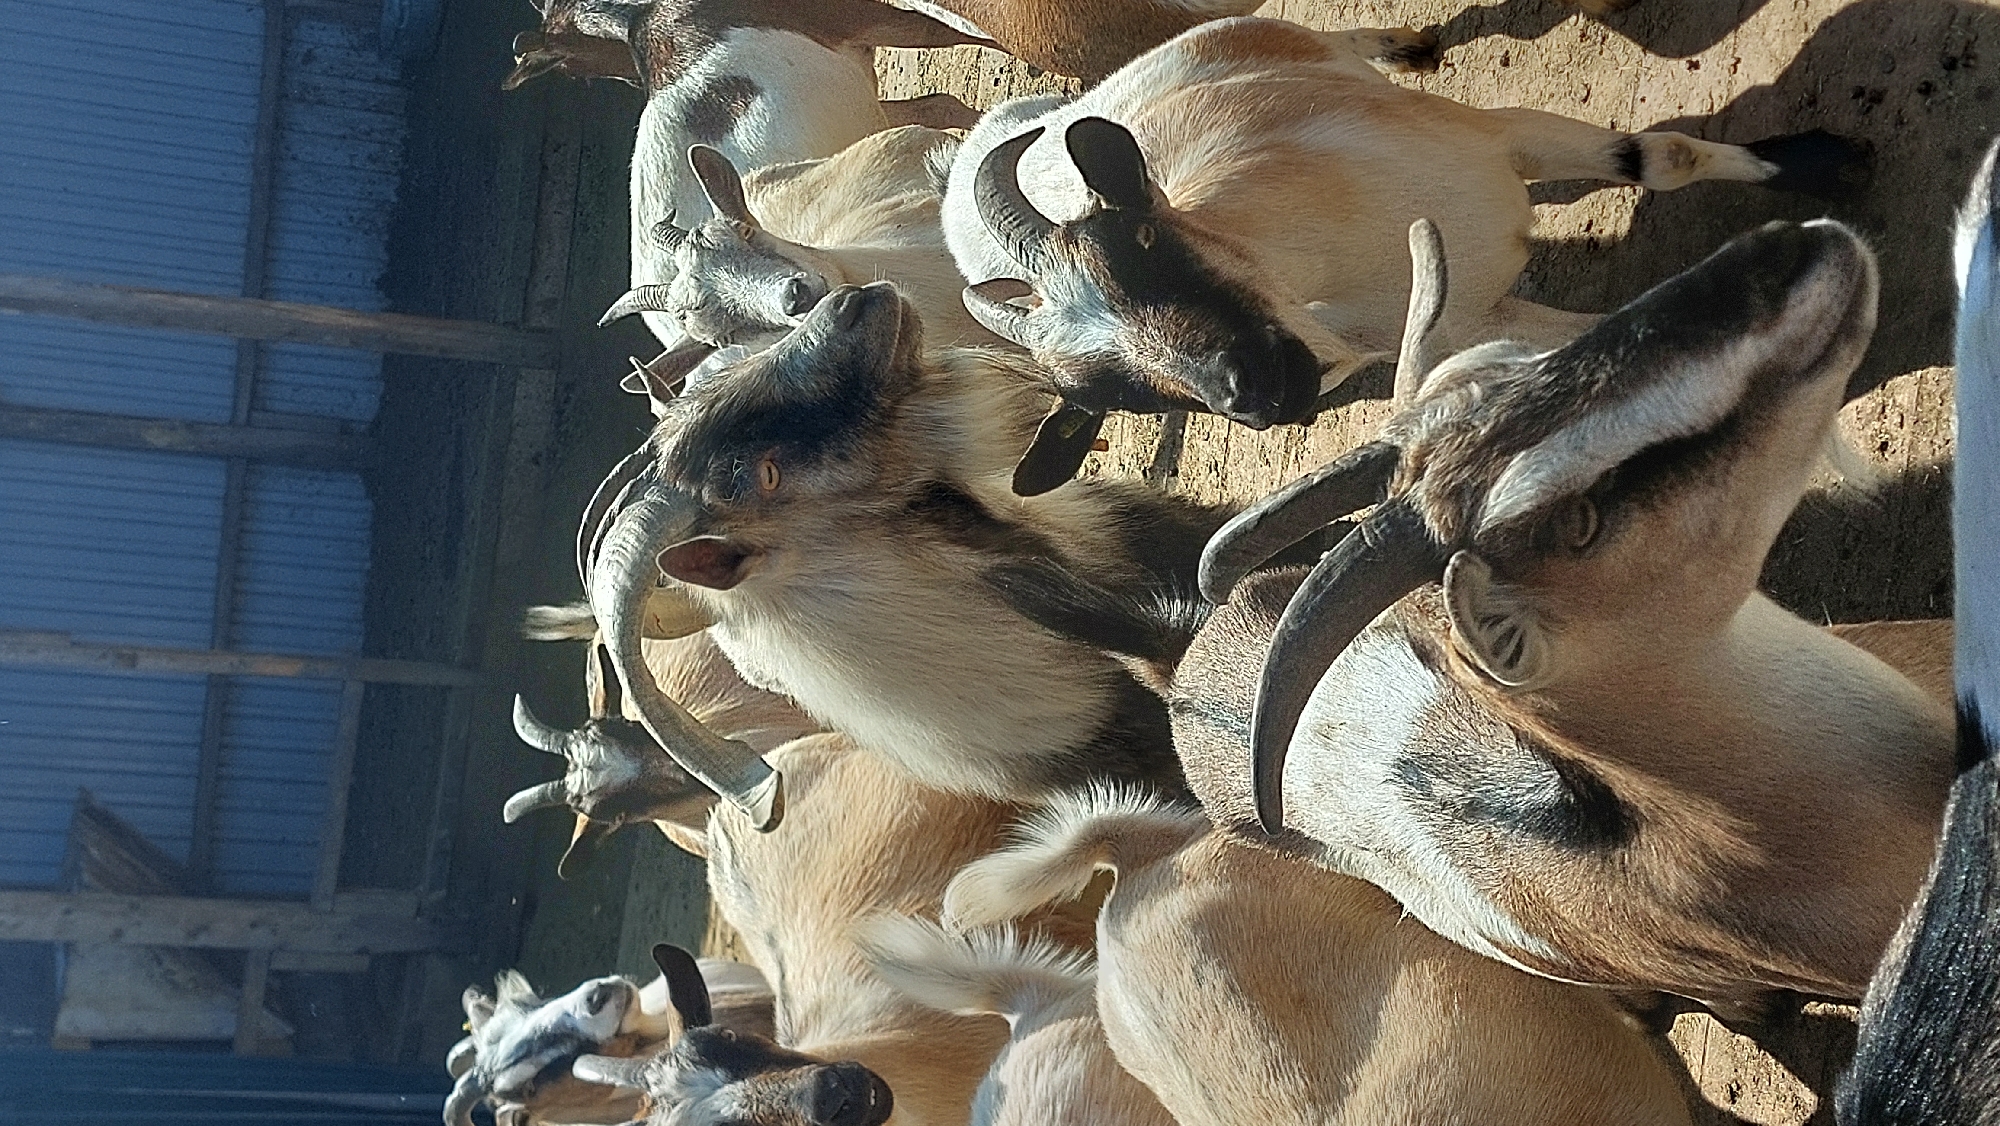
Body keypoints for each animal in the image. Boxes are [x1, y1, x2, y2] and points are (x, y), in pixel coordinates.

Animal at [946, 16, 1866, 491]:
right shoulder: (1468, 317)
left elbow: (1659, 157)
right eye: (1116, 397)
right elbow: (1592, 338)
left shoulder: (1499, 139)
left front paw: (1828, 161)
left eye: (1138, 242)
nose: (1252, 394)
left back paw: (1406, 45)